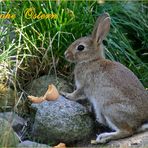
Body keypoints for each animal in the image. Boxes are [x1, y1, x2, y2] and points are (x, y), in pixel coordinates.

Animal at [62, 12, 148, 143]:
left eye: (80, 47)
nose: (66, 54)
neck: (91, 60)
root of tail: (142, 122)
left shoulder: (84, 86)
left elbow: (76, 94)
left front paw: (65, 94)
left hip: (110, 108)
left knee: (127, 131)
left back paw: (104, 137)